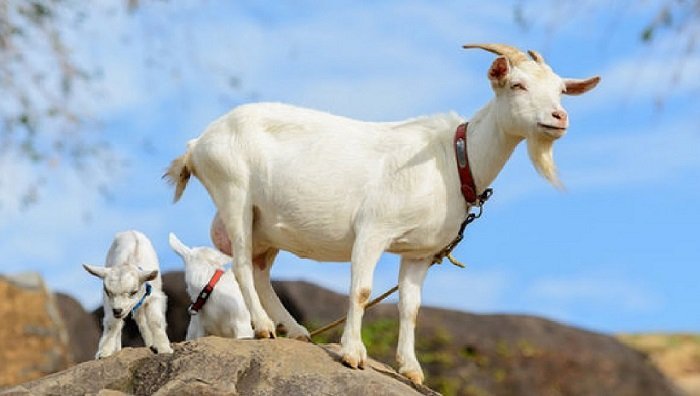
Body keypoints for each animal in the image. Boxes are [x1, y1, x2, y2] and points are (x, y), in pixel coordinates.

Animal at [165, 44, 600, 384]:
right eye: (517, 85)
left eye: (561, 91)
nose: (559, 118)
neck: (452, 159)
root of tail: (197, 143)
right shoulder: (373, 230)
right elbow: (361, 290)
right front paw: (353, 354)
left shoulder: (420, 253)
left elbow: (411, 307)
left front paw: (410, 369)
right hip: (234, 193)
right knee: (240, 264)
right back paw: (264, 327)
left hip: (265, 224)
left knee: (259, 270)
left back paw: (297, 331)